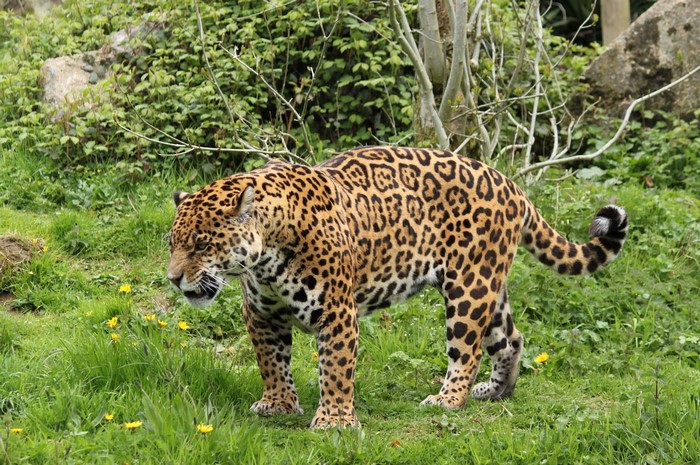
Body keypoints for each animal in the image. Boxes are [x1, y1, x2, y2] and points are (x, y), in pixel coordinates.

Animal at [166, 146, 628, 429]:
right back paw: (496, 391)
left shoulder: (337, 313)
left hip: (468, 287)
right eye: (172, 244)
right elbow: (271, 362)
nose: (173, 279)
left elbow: (336, 370)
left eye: (202, 245)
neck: (268, 250)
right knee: (510, 338)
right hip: (489, 286)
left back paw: (449, 399)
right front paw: (278, 404)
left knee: (468, 350)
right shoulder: (262, 314)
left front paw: (335, 421)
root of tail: (511, 185)